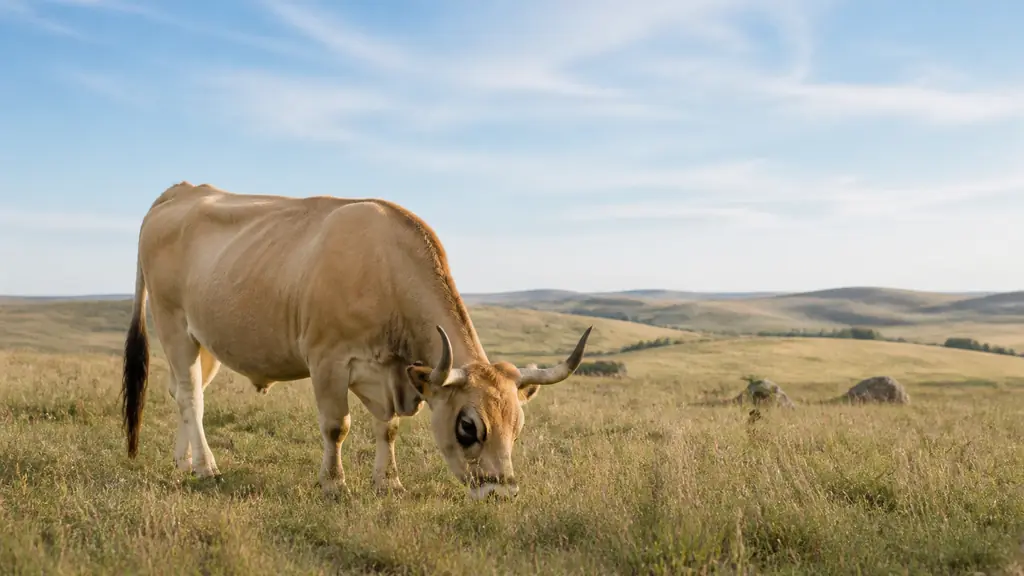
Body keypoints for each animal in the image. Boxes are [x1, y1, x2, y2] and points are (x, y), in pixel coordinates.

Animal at [121, 181, 593, 500]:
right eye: (467, 427)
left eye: (518, 426)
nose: (501, 493)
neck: (385, 267)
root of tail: (182, 190)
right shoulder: (327, 360)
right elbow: (337, 426)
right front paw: (334, 484)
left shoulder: (389, 372)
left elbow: (389, 427)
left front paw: (390, 482)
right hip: (173, 324)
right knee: (191, 397)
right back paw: (206, 467)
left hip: (205, 341)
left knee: (184, 393)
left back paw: (183, 460)